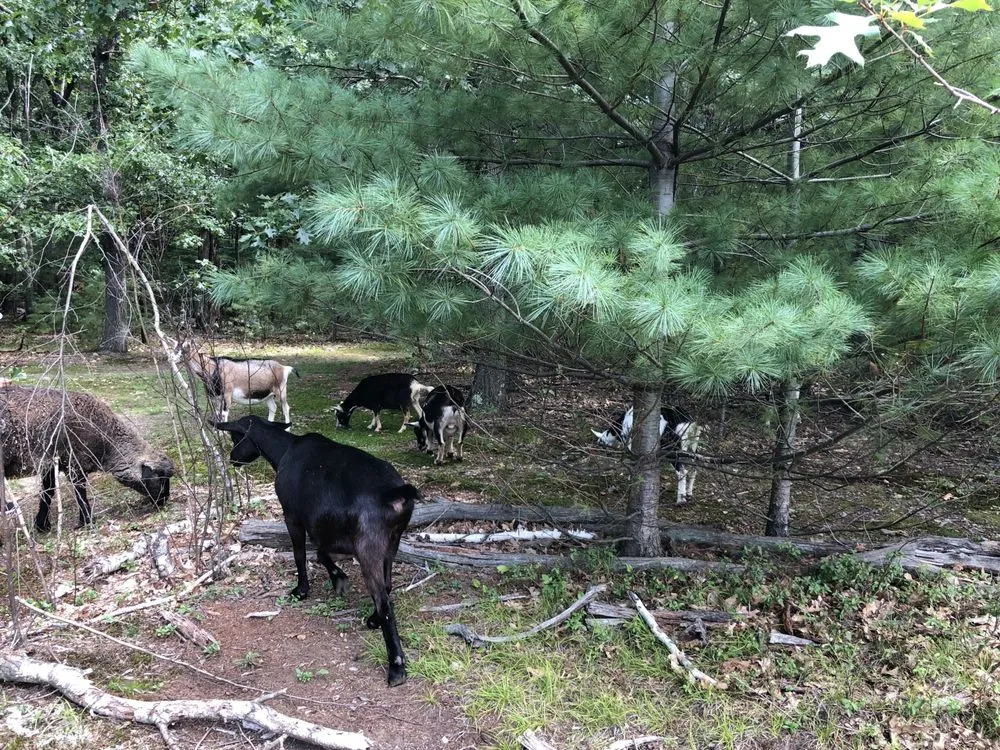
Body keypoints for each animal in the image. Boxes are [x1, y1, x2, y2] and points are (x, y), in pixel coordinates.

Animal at [0, 386, 174, 531]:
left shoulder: (50, 463)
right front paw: (88, 521)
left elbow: (48, 492)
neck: (108, 440)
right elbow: (80, 492)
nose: (164, 500)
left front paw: (42, 524)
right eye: (161, 477)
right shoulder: (75, 461)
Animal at [213, 415, 417, 687]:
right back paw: (373, 619)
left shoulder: (293, 516)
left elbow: (301, 554)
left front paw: (301, 590)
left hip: (368, 546)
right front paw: (338, 578)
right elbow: (321, 553)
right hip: (391, 542)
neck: (285, 451)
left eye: (236, 436)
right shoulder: (324, 525)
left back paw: (396, 668)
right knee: (387, 586)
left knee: (384, 602)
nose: (233, 459)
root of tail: (395, 494)